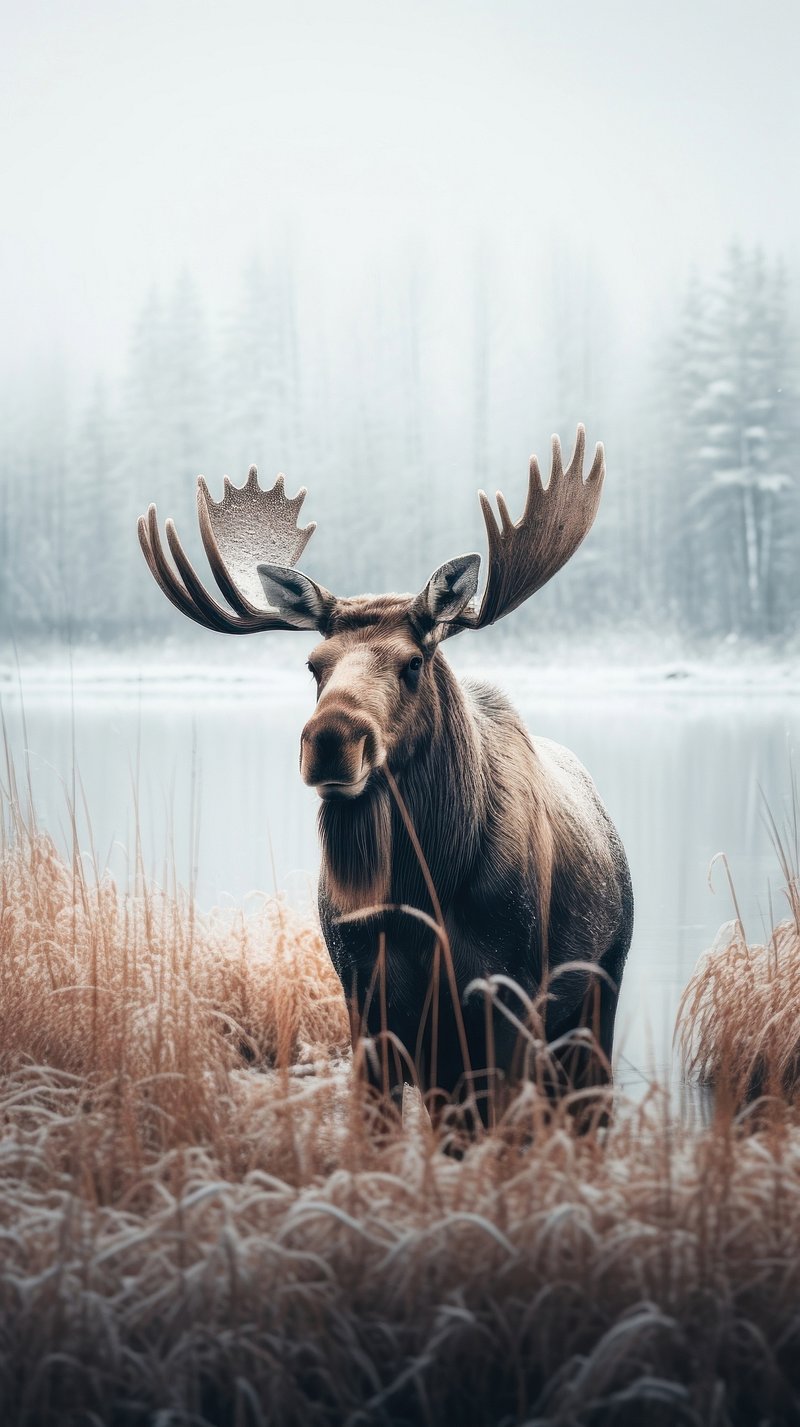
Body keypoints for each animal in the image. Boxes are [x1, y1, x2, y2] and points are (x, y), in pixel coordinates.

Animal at [139, 426, 633, 1129]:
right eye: (314, 664)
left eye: (412, 662)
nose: (330, 741)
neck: (423, 896)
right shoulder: (366, 1000)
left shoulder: (509, 996)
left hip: (600, 989)